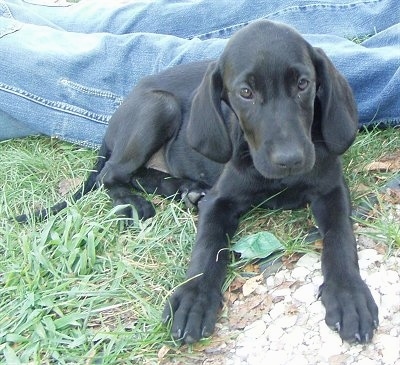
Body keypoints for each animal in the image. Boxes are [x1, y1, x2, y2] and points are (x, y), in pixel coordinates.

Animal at [18, 19, 378, 344]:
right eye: (245, 92)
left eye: (303, 83)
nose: (290, 159)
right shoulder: (221, 201)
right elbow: (207, 247)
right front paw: (194, 297)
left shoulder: (332, 191)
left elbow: (340, 239)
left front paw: (348, 293)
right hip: (158, 106)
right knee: (112, 174)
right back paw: (135, 202)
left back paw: (185, 190)